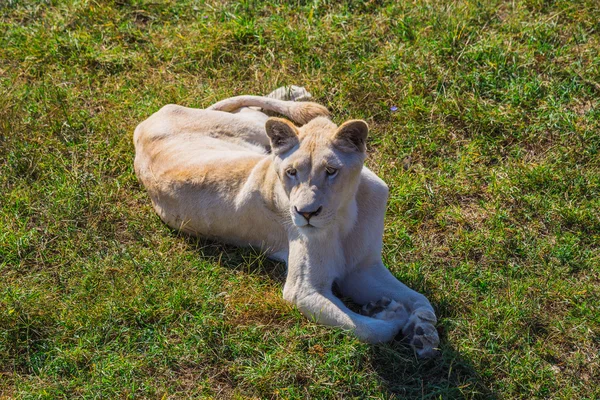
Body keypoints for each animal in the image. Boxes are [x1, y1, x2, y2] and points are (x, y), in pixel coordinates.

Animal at [134, 86, 438, 356]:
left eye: (331, 171)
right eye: (291, 172)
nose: (306, 213)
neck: (346, 215)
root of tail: (145, 122)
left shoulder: (363, 269)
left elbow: (419, 298)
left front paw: (423, 331)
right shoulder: (304, 291)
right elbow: (368, 330)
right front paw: (389, 314)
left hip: (255, 131)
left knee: (256, 110)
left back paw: (294, 93)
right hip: (253, 130)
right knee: (259, 112)